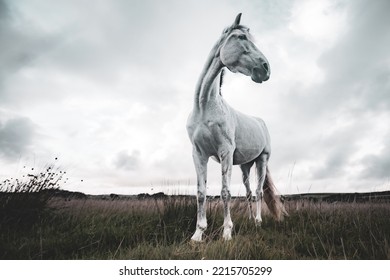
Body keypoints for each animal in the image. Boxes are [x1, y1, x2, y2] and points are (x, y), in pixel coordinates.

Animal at [186, 13, 286, 242]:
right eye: (241, 37)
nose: (265, 68)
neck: (205, 106)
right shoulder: (198, 154)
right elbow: (201, 193)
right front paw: (198, 234)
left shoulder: (225, 152)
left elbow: (225, 192)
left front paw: (227, 233)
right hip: (245, 166)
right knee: (249, 192)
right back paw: (249, 220)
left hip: (262, 160)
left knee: (258, 192)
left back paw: (257, 222)